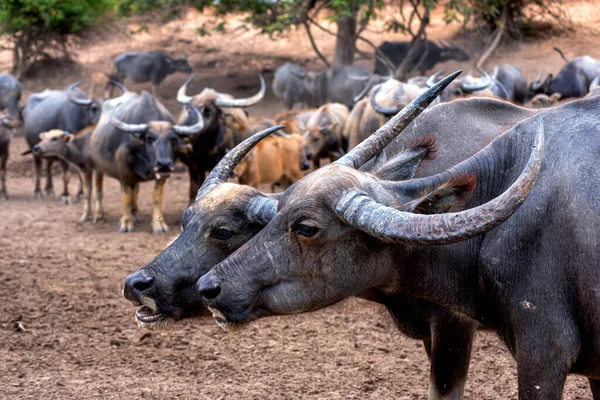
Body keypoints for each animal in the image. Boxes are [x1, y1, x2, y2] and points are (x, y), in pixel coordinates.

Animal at [175, 74, 266, 203]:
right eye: (188, 109)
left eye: (207, 110)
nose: (182, 131)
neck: (208, 147)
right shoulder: (195, 167)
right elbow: (194, 190)